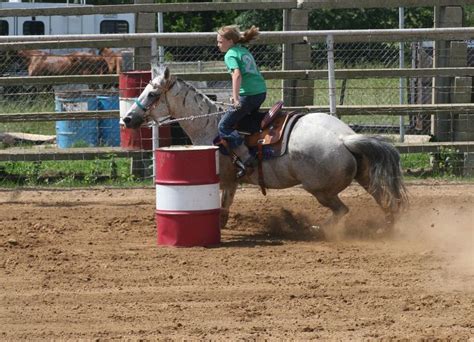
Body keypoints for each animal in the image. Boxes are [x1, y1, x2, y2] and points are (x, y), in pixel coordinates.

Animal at [122, 66, 408, 232]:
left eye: (151, 94)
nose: (127, 119)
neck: (210, 123)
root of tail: (343, 138)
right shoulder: (231, 182)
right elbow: (225, 207)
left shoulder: (225, 179)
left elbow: (222, 208)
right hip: (365, 176)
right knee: (386, 201)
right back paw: (386, 229)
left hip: (320, 190)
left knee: (342, 211)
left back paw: (314, 229)